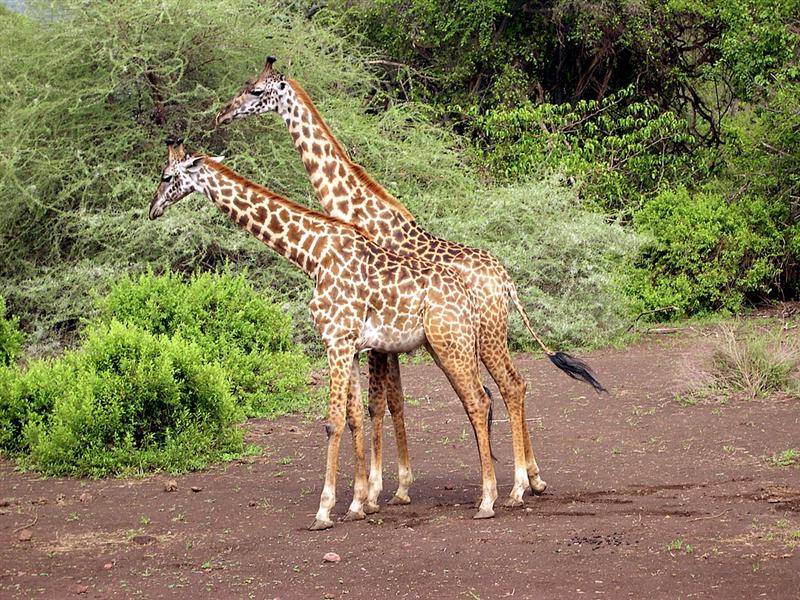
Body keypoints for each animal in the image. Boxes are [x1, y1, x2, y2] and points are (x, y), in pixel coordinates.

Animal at [149, 139, 499, 529]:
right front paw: (359, 503)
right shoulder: (352, 345)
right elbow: (354, 416)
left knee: (479, 400)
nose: (152, 209)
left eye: (166, 176)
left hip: (450, 342)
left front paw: (325, 509)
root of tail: (467, 294)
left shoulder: (336, 340)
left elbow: (332, 422)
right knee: (482, 399)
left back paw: (488, 501)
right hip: (445, 345)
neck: (312, 252)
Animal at [215, 58, 606, 511]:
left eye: (257, 92)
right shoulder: (385, 336)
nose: (222, 114)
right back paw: (534, 480)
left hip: (484, 335)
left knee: (509, 387)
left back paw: (516, 487)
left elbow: (378, 404)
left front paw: (375, 491)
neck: (357, 210)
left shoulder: (373, 335)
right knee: (514, 385)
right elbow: (394, 402)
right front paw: (395, 487)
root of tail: (505, 278)